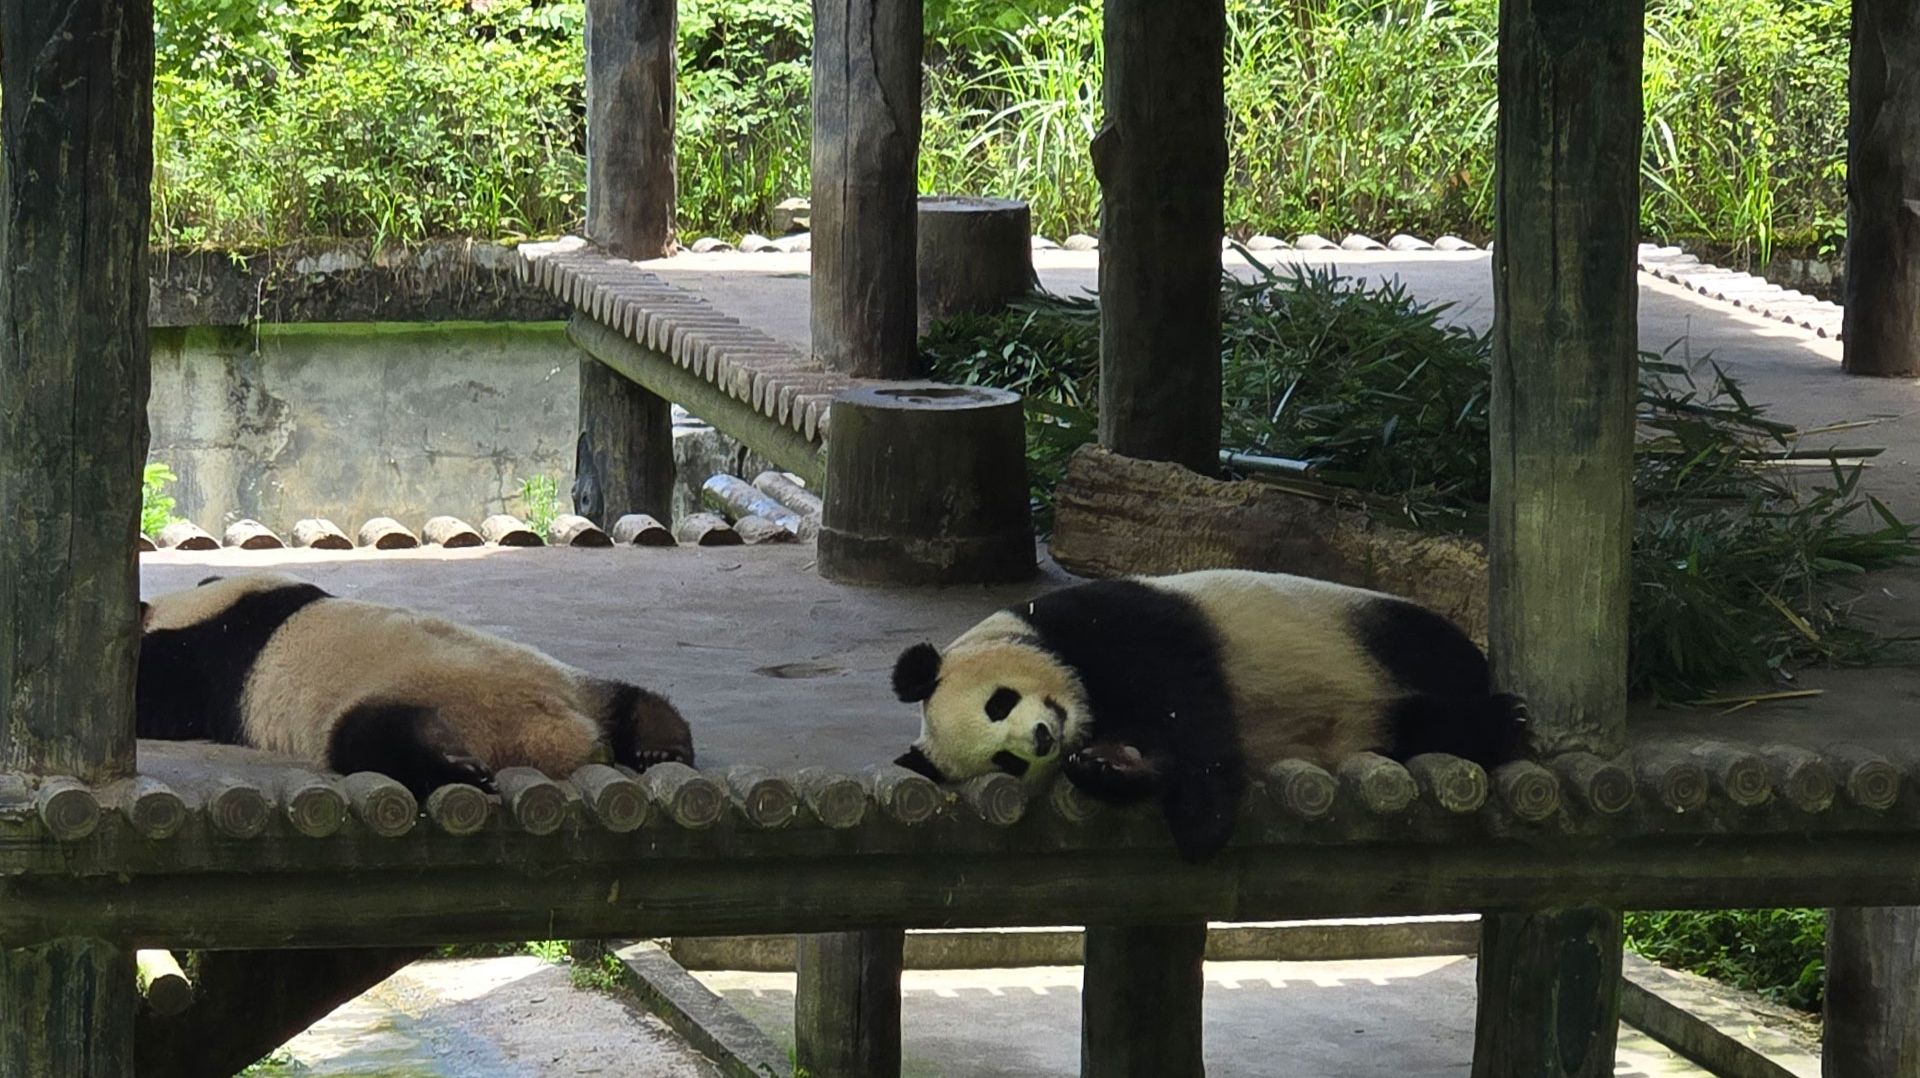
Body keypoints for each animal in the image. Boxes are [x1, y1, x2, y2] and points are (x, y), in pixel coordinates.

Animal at [136, 572, 694, 798]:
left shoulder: (207, 661)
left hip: (412, 697)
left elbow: (157, 698)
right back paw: (659, 746)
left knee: (372, 739)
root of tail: (561, 730)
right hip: (569, 681)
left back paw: (459, 768)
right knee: (628, 697)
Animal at [888, 568, 1528, 863]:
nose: (1044, 738)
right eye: (1007, 761)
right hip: (1371, 726)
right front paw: (1105, 766)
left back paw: (1505, 715)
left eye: (998, 702)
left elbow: (1189, 702)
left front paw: (1202, 824)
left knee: (1434, 660)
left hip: (1367, 635)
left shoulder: (1111, 623)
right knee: (1414, 727)